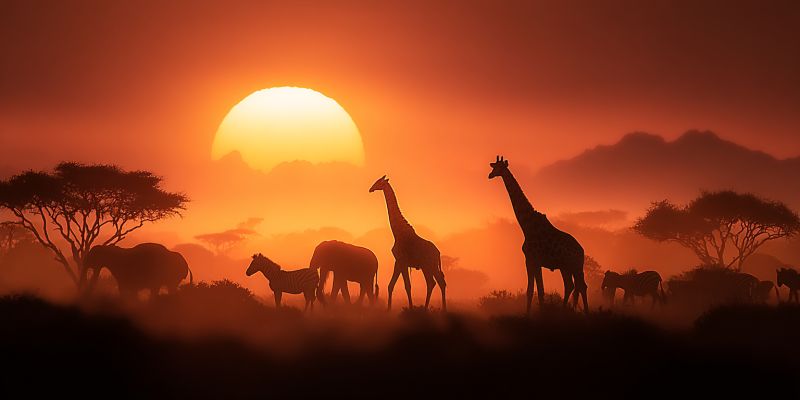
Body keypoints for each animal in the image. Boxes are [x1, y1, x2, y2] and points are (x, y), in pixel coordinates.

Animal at [369, 175, 447, 311]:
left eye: (378, 182)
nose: (371, 189)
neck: (397, 232)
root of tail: (438, 253)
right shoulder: (398, 261)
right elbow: (391, 285)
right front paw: (388, 310)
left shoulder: (403, 261)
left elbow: (407, 285)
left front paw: (410, 308)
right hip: (427, 266)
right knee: (434, 283)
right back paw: (429, 308)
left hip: (429, 265)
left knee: (437, 282)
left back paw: (439, 309)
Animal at [488, 156, 588, 314]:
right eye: (494, 167)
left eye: (499, 168)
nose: (490, 175)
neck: (526, 226)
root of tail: (582, 251)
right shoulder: (532, 261)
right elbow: (533, 290)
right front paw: (532, 314)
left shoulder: (533, 259)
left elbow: (537, 290)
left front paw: (536, 314)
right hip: (566, 267)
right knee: (571, 286)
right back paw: (565, 310)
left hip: (576, 266)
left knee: (581, 286)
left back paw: (586, 312)